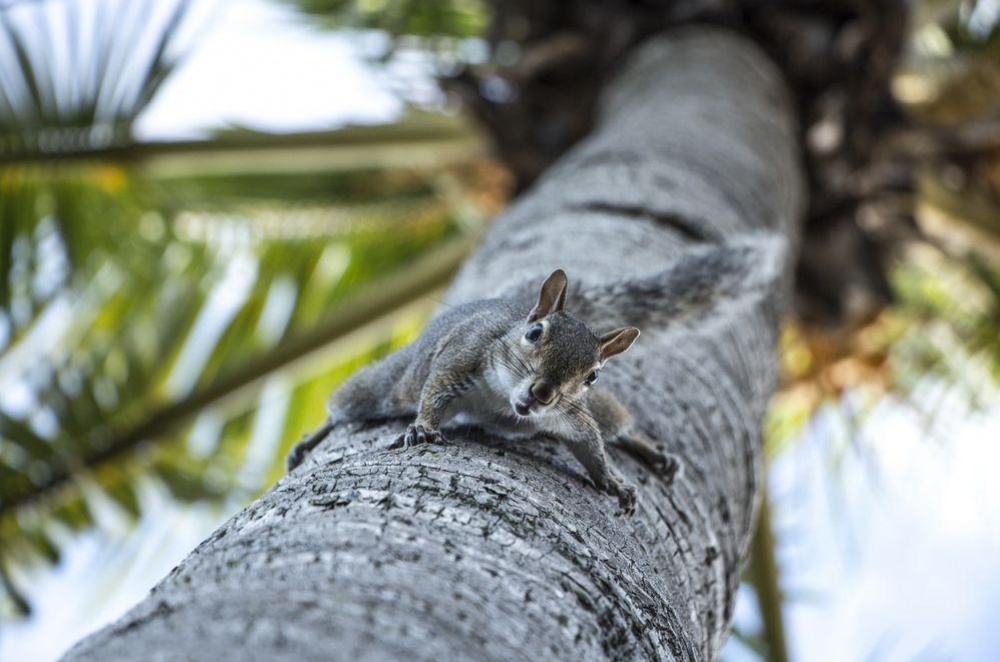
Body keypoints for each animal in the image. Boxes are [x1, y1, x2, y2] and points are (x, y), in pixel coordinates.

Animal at [286, 240, 784, 520]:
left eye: (593, 375)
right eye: (535, 334)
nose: (542, 394)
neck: (505, 402)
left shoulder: (573, 416)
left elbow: (591, 446)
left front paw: (614, 482)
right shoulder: (460, 360)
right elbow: (435, 392)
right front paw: (424, 428)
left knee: (617, 424)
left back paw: (651, 452)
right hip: (392, 383)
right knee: (353, 402)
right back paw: (312, 440)